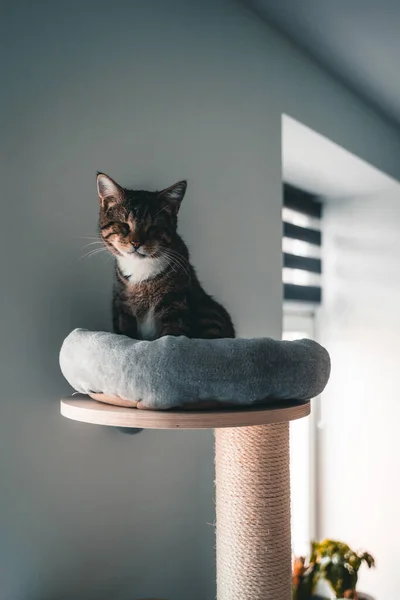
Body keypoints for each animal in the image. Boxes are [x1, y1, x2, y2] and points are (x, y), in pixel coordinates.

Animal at [96, 173, 234, 342]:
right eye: (124, 225)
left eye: (153, 227)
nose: (136, 243)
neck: (141, 272)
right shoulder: (123, 308)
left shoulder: (175, 304)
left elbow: (171, 335)